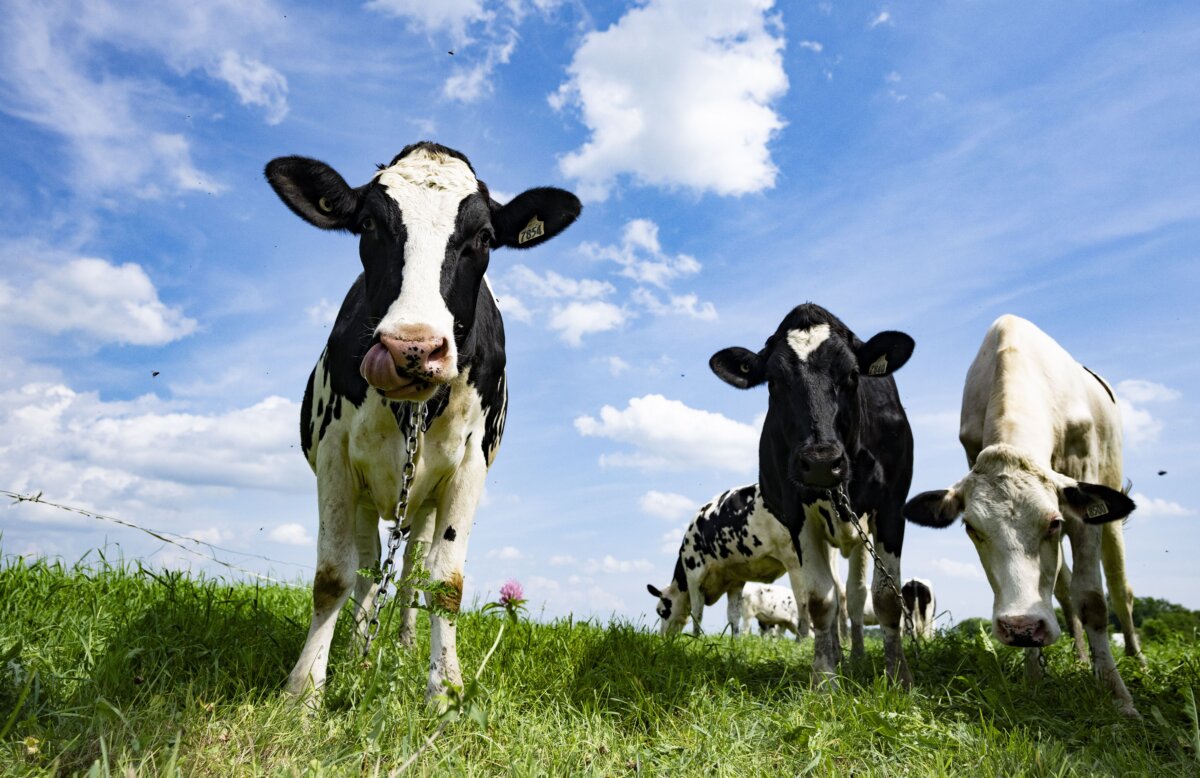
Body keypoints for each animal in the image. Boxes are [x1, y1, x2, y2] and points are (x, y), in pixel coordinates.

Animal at [264, 142, 581, 704]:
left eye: (484, 237)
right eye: (368, 223)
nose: (411, 348)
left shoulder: (470, 463)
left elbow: (445, 581)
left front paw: (445, 689)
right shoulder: (335, 454)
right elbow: (332, 575)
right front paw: (304, 692)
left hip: (427, 500)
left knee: (412, 570)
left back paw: (406, 646)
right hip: (369, 495)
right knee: (369, 567)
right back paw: (360, 651)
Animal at [708, 303, 916, 687]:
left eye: (852, 374)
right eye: (773, 381)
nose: (821, 462)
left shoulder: (892, 508)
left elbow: (885, 597)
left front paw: (898, 676)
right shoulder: (797, 515)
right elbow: (821, 599)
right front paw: (824, 678)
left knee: (855, 594)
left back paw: (858, 654)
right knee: (835, 596)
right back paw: (837, 653)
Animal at [903, 314, 1142, 716]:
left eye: (1054, 522)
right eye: (971, 528)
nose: (1021, 627)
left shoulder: (1083, 494)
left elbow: (1093, 599)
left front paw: (1120, 698)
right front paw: (1034, 680)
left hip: (1109, 501)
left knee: (1120, 587)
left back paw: (1137, 659)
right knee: (1062, 590)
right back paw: (1080, 658)